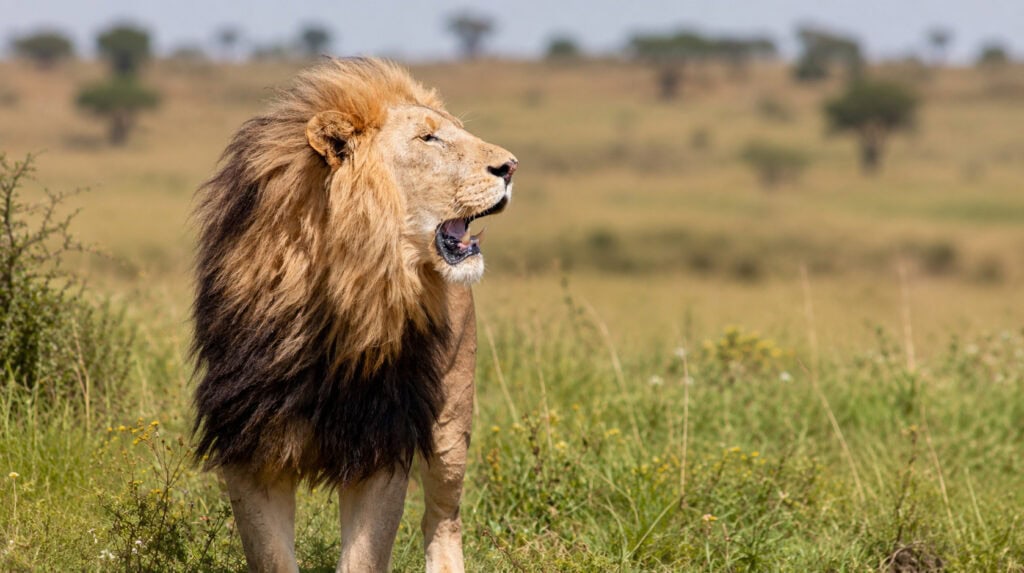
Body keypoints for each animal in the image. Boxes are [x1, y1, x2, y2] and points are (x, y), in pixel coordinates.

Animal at [191, 57, 517, 572]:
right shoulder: (248, 442)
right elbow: (271, 556)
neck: (343, 294)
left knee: (443, 517)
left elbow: (365, 557)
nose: (511, 166)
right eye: (429, 138)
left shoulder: (382, 437)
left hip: (451, 422)